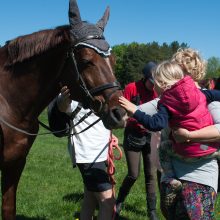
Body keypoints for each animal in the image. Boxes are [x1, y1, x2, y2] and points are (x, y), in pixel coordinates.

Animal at [0, 0, 126, 219]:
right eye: (85, 60)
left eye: (114, 60)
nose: (119, 113)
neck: (10, 106)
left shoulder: (15, 165)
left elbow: (8, 208)